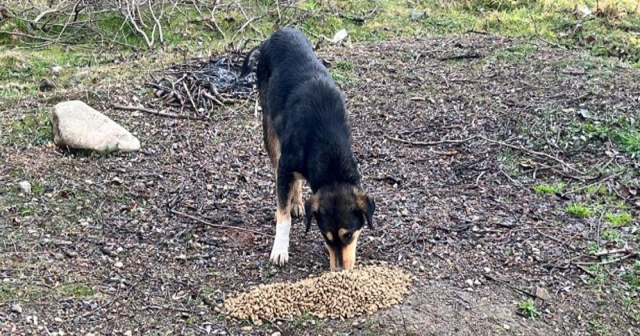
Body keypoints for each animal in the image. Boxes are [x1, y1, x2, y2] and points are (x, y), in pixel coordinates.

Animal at [239, 27, 376, 272]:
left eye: (349, 235)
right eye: (326, 236)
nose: (339, 271)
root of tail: (276, 34)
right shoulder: (285, 166)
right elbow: (282, 216)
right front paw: (280, 249)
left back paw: (297, 202)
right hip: (269, 128)